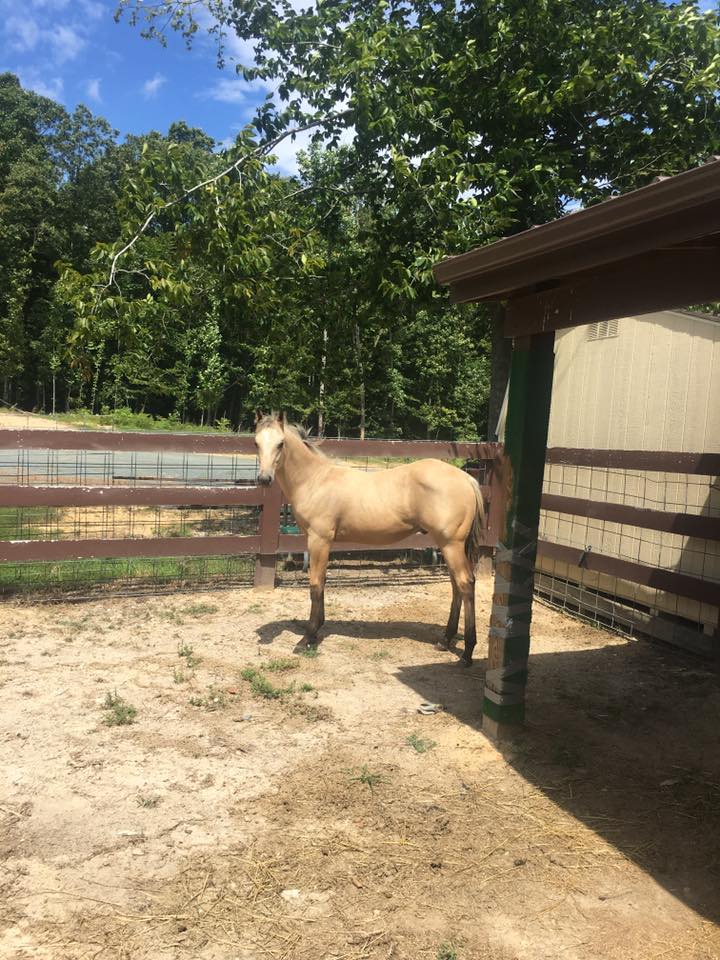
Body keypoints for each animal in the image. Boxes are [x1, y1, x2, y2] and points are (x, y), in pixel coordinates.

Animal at [253, 408, 484, 664]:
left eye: (281, 443)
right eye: (256, 443)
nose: (264, 479)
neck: (315, 480)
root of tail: (466, 478)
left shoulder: (319, 540)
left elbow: (315, 585)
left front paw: (307, 638)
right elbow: (321, 583)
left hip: (451, 544)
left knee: (465, 584)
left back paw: (467, 653)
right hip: (448, 545)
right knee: (456, 586)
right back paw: (445, 641)